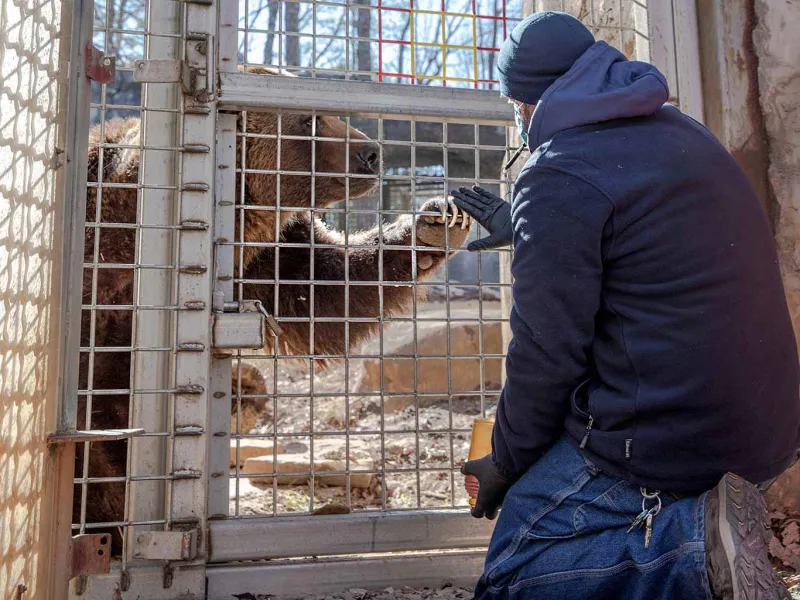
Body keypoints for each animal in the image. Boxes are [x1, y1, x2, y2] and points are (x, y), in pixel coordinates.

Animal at [76, 67, 468, 552]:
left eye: (328, 113)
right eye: (309, 121)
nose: (372, 152)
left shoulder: (271, 254)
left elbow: (328, 291)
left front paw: (434, 222)